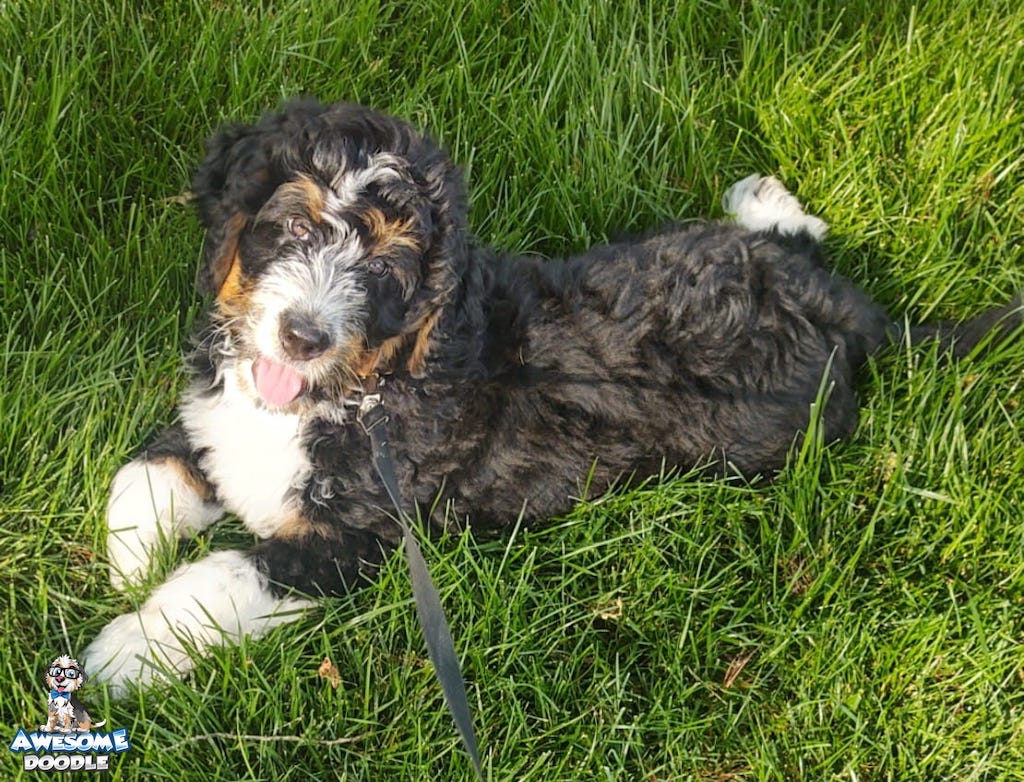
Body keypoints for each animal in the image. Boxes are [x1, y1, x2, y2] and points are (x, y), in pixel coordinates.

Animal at [81, 97, 1024, 691]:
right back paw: (766, 200)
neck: (358, 391)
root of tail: (860, 324)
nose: (302, 335)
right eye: (296, 223)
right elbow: (150, 470)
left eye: (386, 271)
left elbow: (224, 576)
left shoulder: (358, 543)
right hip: (708, 254)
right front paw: (129, 558)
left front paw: (125, 651)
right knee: (798, 242)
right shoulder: (220, 420)